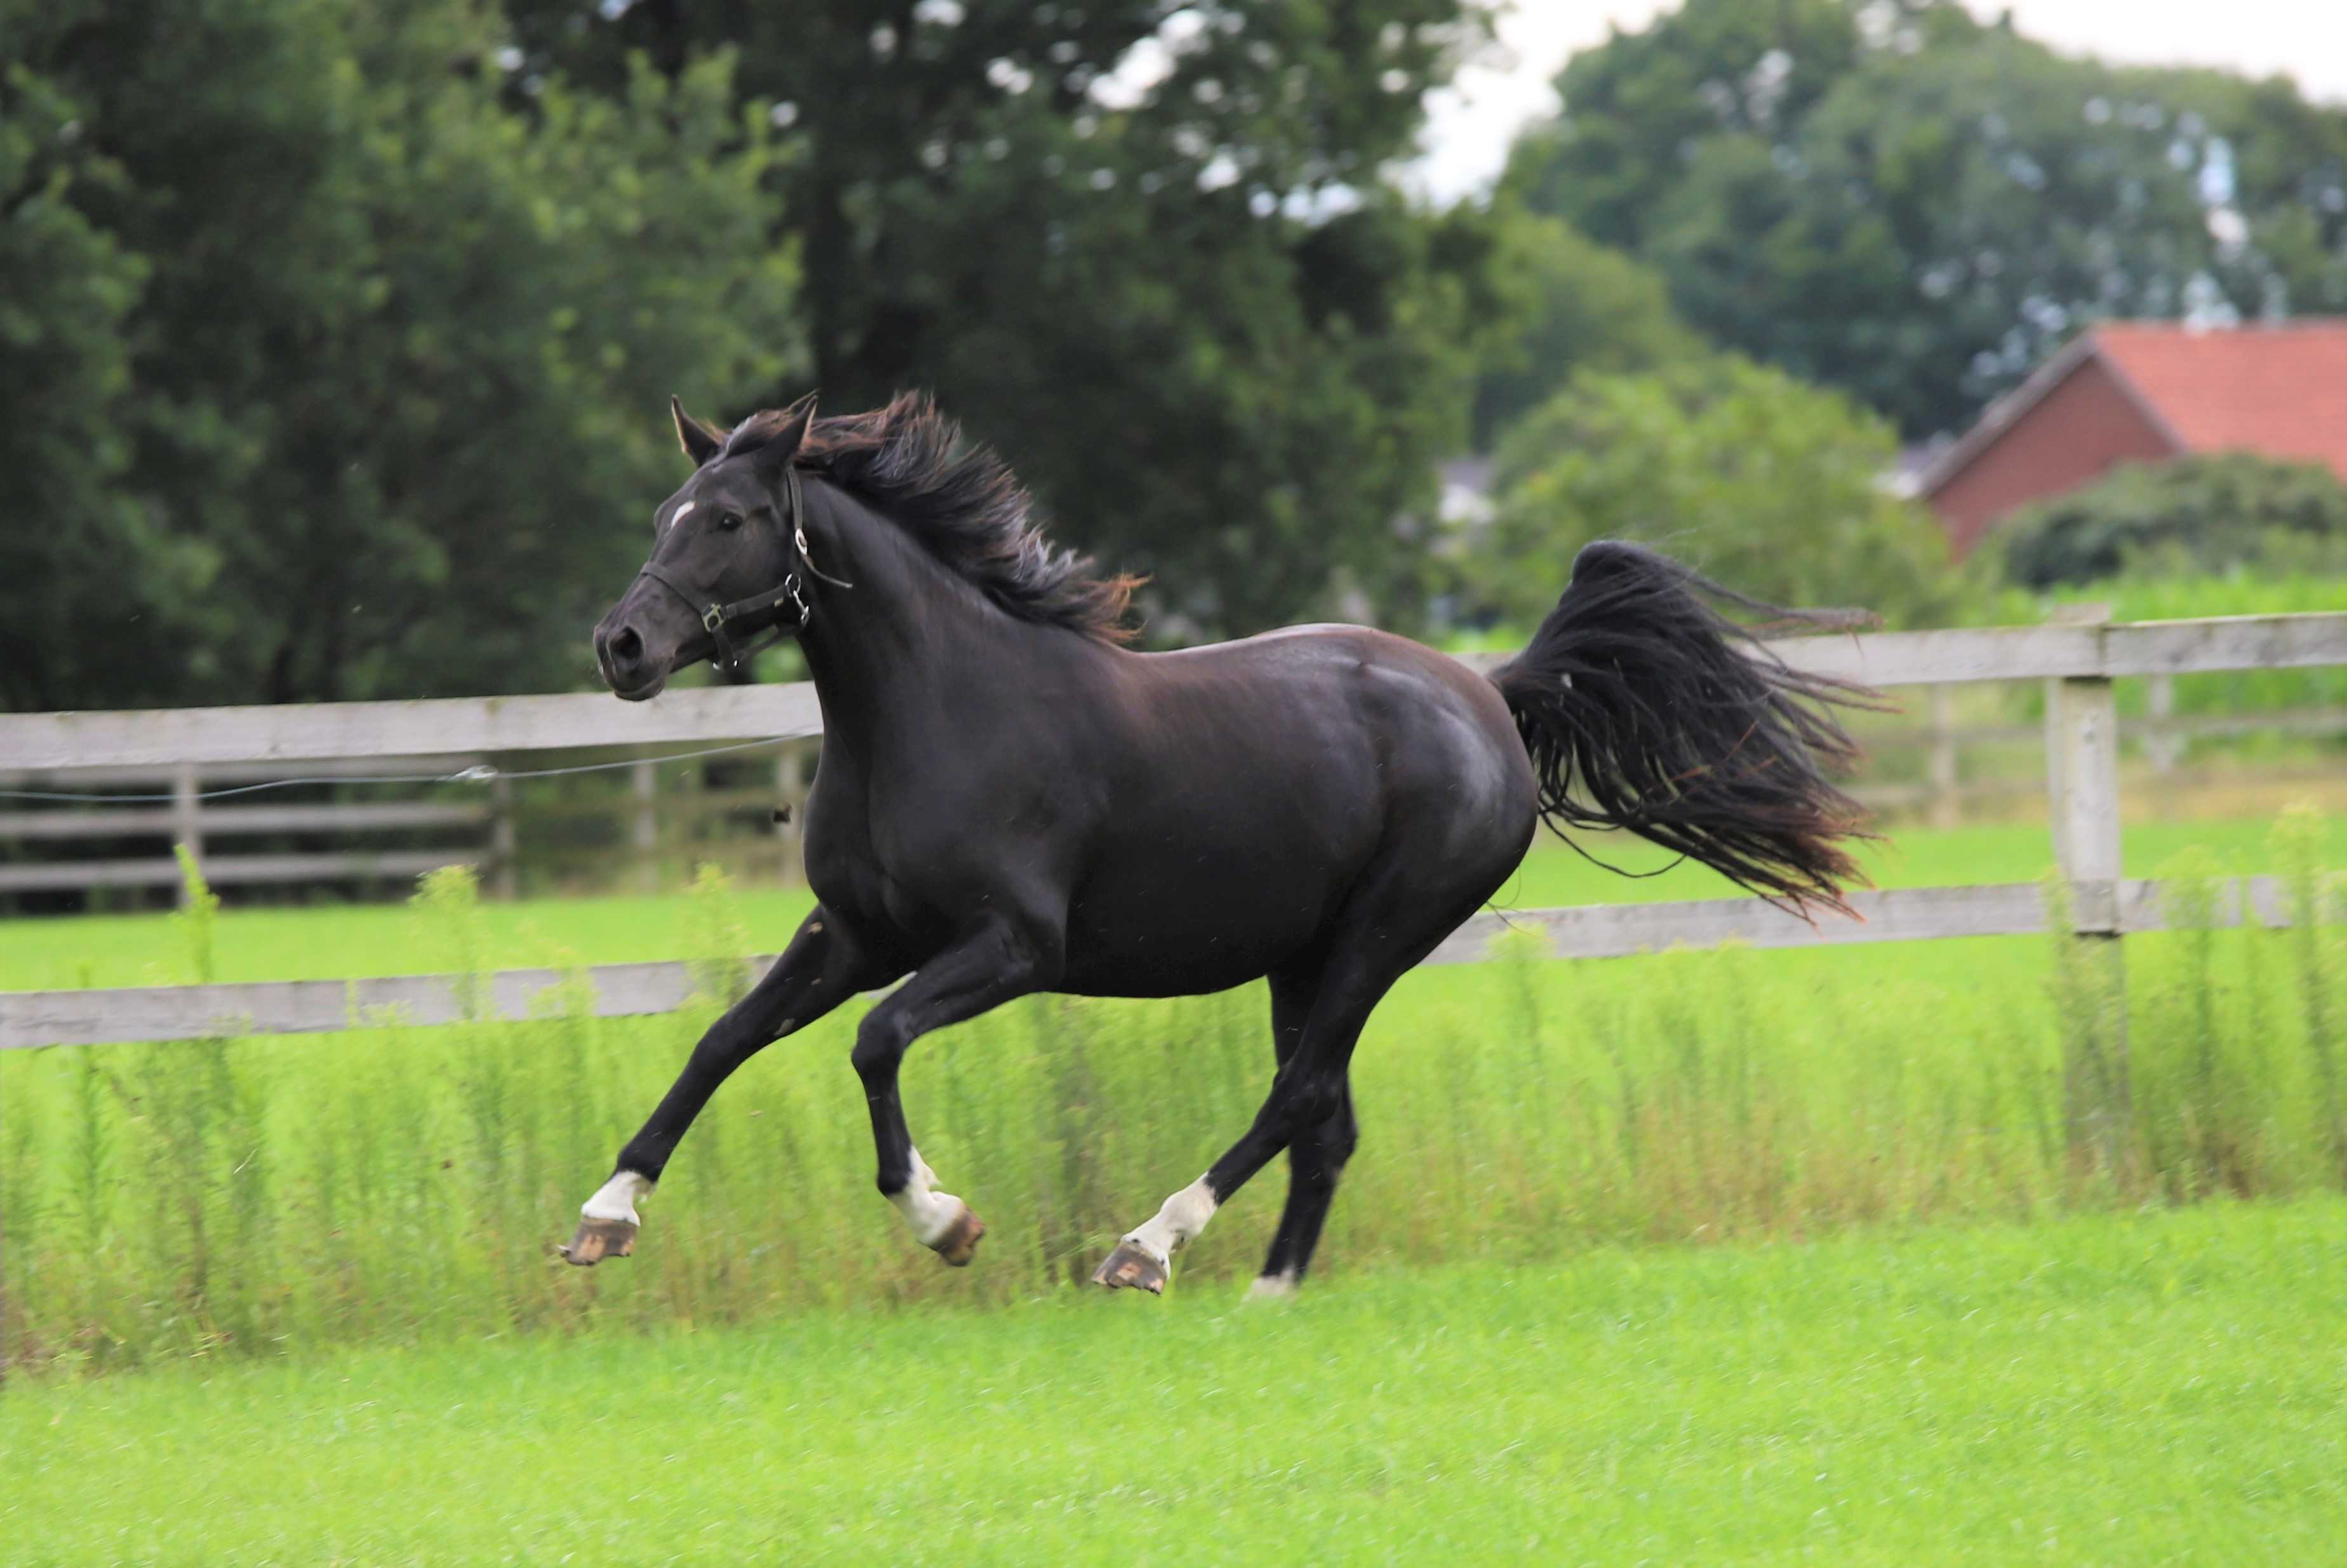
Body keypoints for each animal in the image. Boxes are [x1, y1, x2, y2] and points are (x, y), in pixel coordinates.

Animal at [563, 394, 1868, 1296]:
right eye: (664, 516)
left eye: (730, 519)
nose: (622, 646)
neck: (936, 709)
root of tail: (1493, 696)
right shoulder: (853, 934)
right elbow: (724, 1038)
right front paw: (605, 1216)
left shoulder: (1013, 949)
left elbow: (876, 1043)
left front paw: (945, 1220)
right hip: (1304, 956)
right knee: (1328, 1124)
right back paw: (1265, 1296)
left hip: (1380, 938)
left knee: (1299, 1097)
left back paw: (1148, 1247)